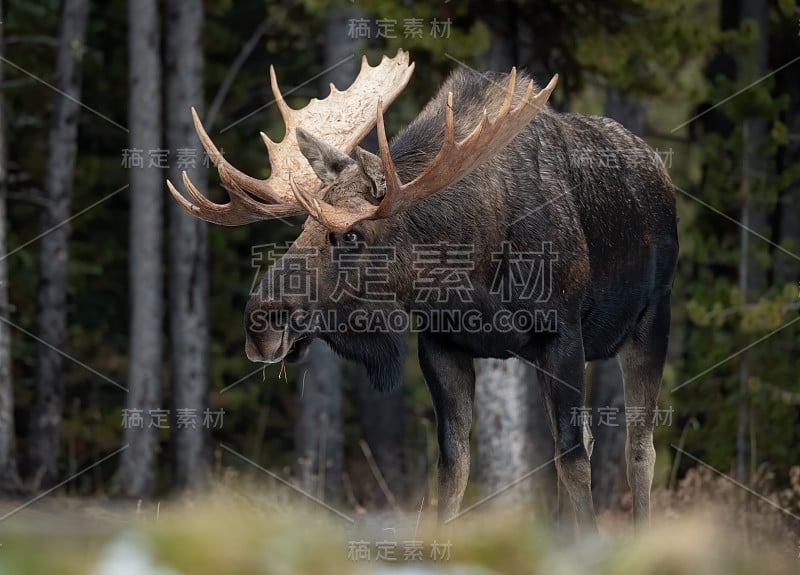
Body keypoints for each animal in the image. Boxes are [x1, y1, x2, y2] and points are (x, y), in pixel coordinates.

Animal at [167, 49, 676, 532]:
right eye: (304, 227)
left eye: (351, 234)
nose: (259, 322)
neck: (471, 273)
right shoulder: (440, 343)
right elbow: (452, 468)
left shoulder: (562, 333)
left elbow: (574, 459)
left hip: (651, 320)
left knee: (638, 448)